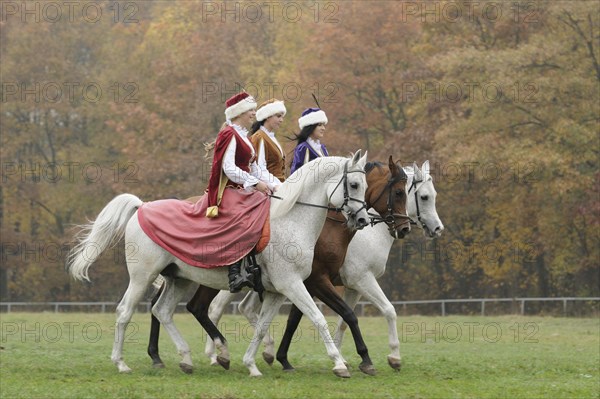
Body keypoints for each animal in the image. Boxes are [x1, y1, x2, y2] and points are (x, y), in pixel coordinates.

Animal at [69, 152, 370, 378]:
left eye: (366, 186)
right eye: (354, 185)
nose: (363, 220)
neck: (291, 220)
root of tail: (142, 207)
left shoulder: (277, 291)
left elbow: (262, 327)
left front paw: (251, 364)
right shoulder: (294, 284)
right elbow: (318, 318)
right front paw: (339, 363)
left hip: (180, 278)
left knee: (163, 311)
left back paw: (188, 358)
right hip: (143, 277)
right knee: (125, 312)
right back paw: (121, 363)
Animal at [146, 156, 410, 376]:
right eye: (399, 192)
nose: (405, 228)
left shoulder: (315, 284)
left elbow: (326, 318)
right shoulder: (317, 281)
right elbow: (340, 315)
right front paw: (358, 360)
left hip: (185, 276)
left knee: (179, 307)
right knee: (198, 308)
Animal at [204, 161, 442, 370]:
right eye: (422, 196)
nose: (437, 228)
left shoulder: (348, 286)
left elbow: (341, 318)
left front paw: (341, 358)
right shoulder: (350, 280)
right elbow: (385, 311)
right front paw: (391, 356)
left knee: (244, 308)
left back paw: (261, 352)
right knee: (216, 308)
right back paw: (216, 355)